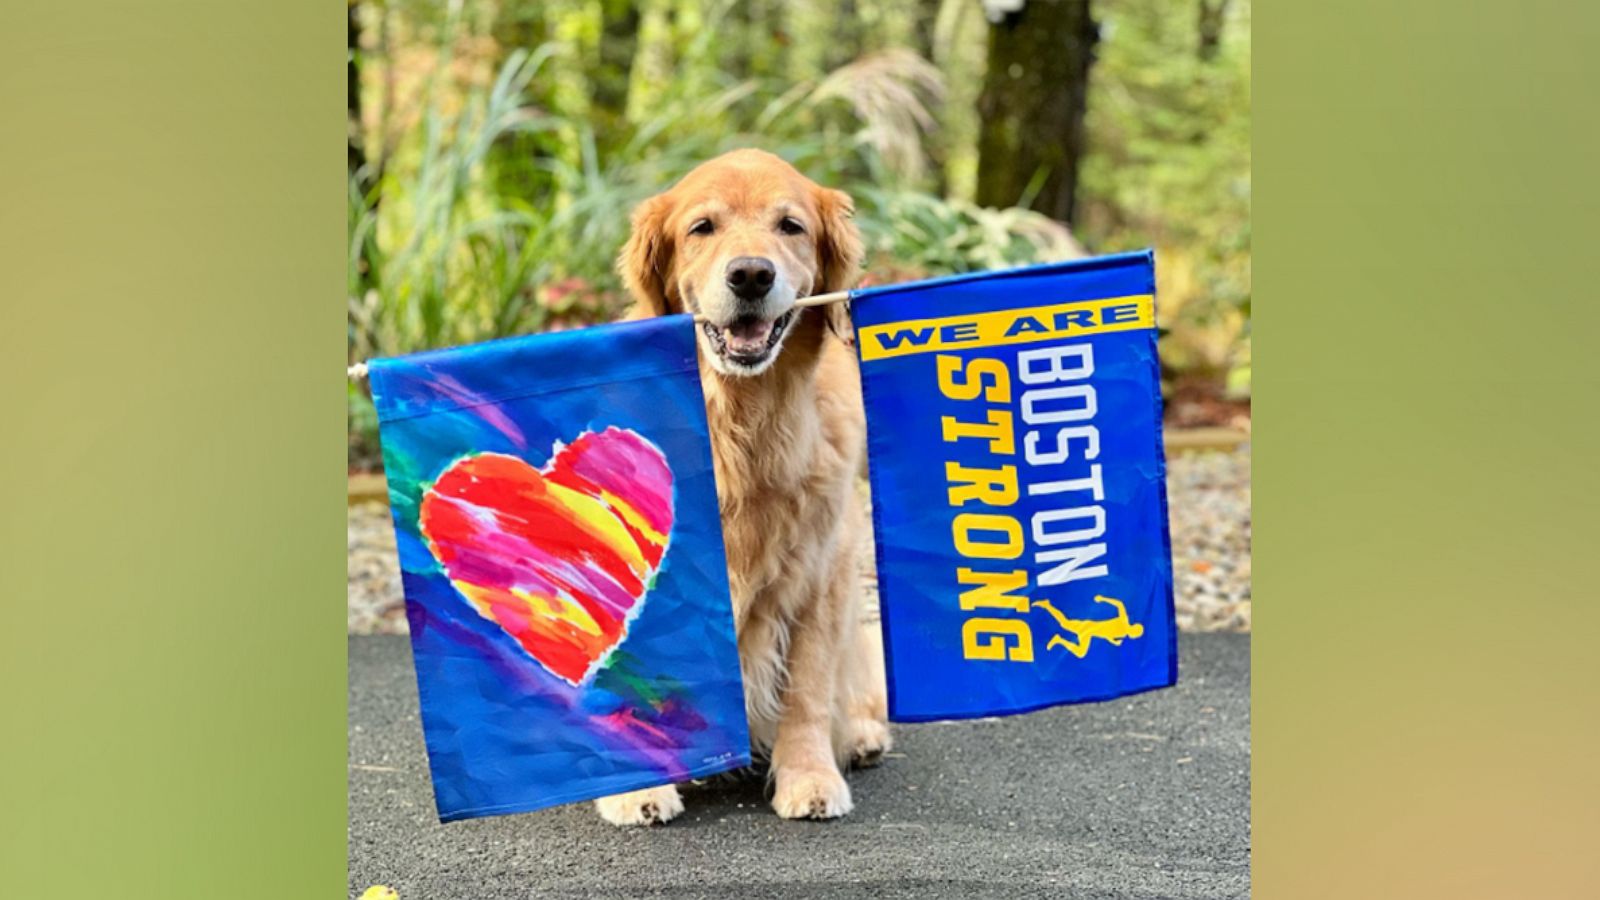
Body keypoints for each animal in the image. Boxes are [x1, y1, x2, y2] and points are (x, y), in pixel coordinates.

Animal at [595, 150, 896, 826]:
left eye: (791, 226)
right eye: (702, 227)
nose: (752, 275)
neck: (744, 421)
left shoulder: (824, 568)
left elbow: (808, 687)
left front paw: (809, 775)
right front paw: (636, 787)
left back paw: (863, 737)